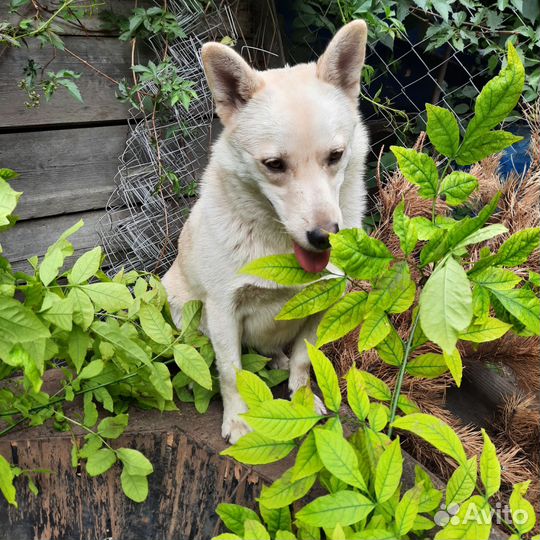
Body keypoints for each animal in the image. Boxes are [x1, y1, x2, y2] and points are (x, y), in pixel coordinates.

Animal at [162, 22, 370, 442]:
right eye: (273, 164)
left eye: (336, 156)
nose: (324, 236)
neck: (279, 248)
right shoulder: (223, 309)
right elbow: (231, 372)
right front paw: (238, 421)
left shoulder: (321, 307)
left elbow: (305, 362)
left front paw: (302, 399)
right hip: (181, 307)